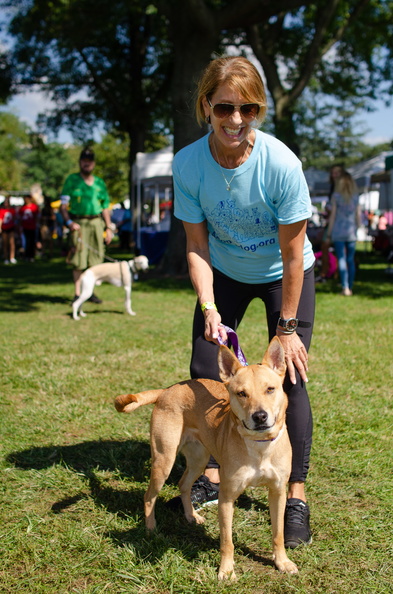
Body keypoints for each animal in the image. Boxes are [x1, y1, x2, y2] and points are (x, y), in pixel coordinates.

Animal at [114, 338, 298, 580]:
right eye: (241, 393)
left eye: (270, 389)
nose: (259, 416)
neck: (260, 446)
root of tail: (167, 389)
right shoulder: (227, 497)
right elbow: (227, 541)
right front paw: (227, 570)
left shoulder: (277, 492)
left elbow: (278, 533)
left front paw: (282, 562)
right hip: (164, 459)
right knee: (149, 496)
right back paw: (151, 528)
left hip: (198, 458)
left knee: (183, 484)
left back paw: (191, 516)